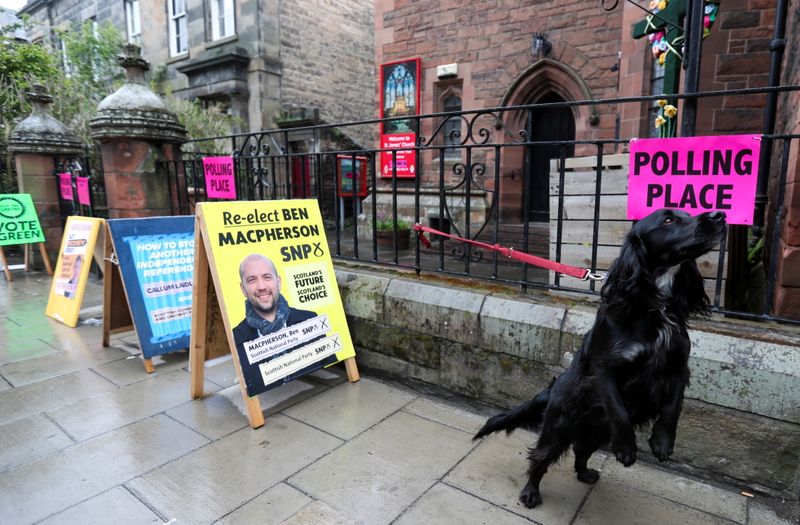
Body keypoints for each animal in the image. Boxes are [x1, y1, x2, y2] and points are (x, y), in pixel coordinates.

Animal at [472, 208, 728, 508]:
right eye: (668, 220)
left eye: (686, 213)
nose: (720, 215)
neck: (655, 308)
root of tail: (551, 389)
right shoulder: (604, 370)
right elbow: (618, 409)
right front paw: (628, 449)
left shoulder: (678, 367)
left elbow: (672, 407)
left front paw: (662, 443)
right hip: (558, 427)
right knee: (540, 457)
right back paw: (530, 493)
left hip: (598, 432)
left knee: (581, 451)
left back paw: (585, 474)